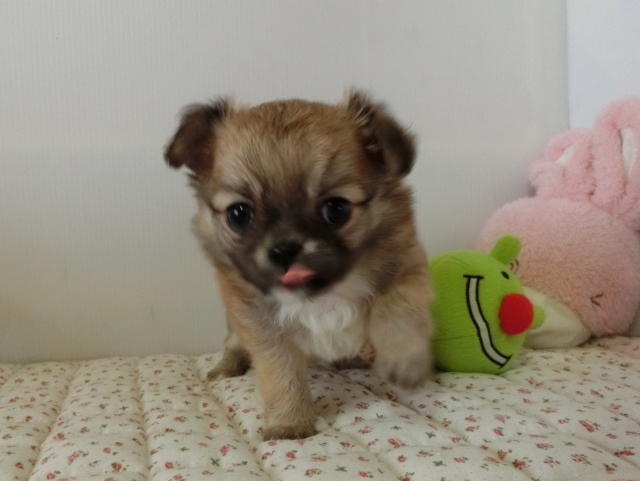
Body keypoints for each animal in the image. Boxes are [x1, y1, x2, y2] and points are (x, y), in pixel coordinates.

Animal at [164, 90, 433, 440]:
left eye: (336, 209)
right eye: (238, 214)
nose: (284, 250)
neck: (321, 296)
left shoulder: (406, 266)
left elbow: (398, 311)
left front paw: (404, 362)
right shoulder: (259, 323)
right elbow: (281, 374)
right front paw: (289, 424)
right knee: (232, 344)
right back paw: (226, 367)